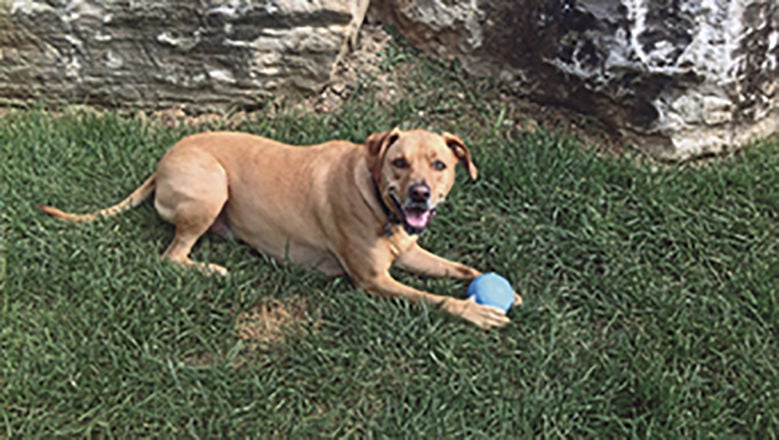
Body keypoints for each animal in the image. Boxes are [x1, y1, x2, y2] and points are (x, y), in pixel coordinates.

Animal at [39, 129, 520, 328]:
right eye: (398, 162)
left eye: (440, 165)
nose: (420, 194)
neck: (375, 194)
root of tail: (161, 164)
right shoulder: (373, 280)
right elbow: (433, 299)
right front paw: (474, 311)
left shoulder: (409, 250)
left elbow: (460, 268)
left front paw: (498, 287)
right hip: (212, 186)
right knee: (172, 256)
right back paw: (209, 269)